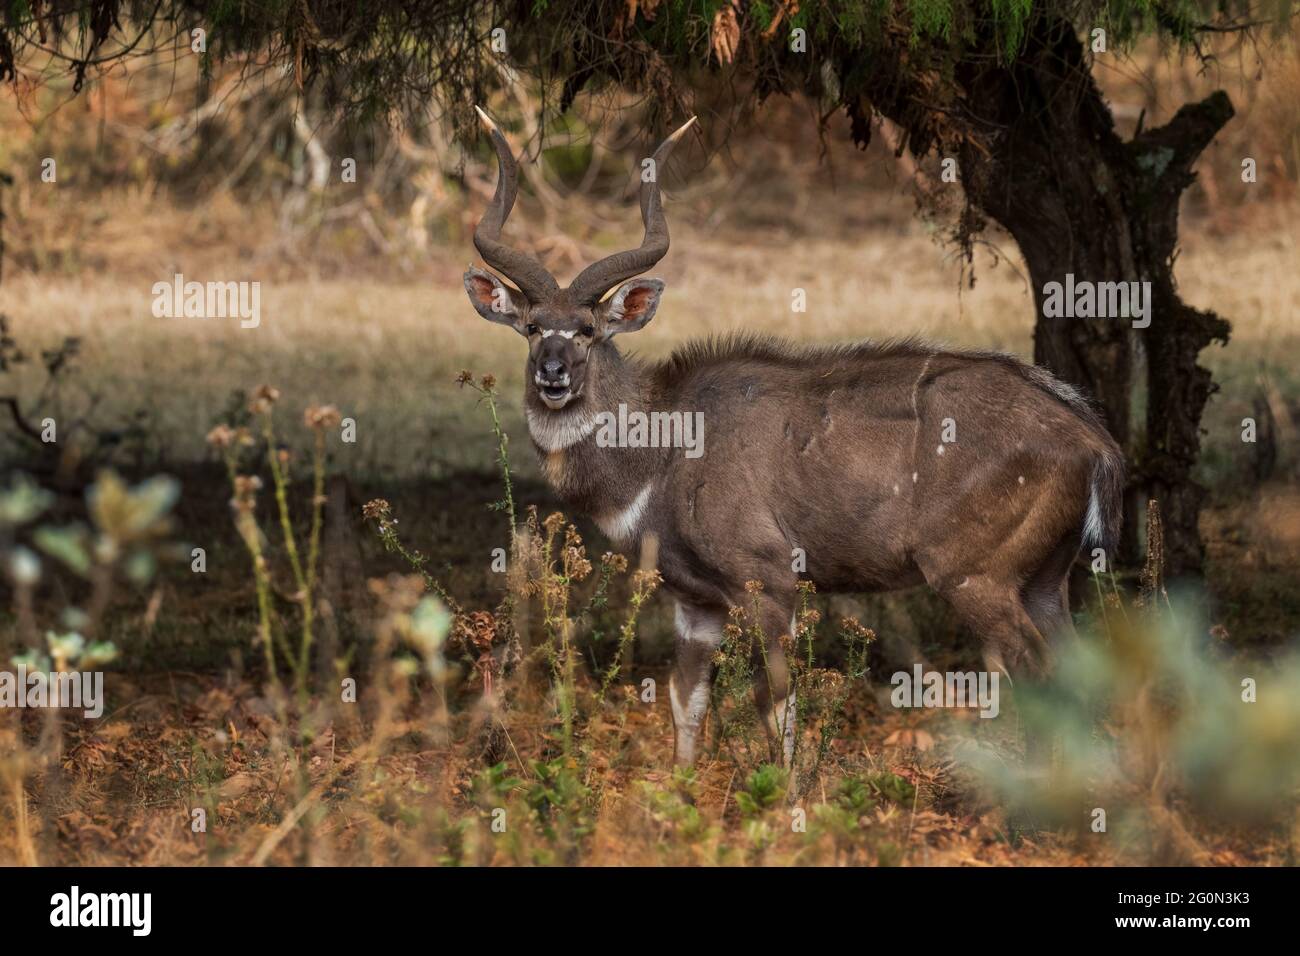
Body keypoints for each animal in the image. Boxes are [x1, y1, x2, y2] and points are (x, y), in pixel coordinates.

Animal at [462, 110, 1123, 770]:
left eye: (587, 329)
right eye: (531, 327)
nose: (553, 374)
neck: (661, 449)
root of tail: (1092, 440)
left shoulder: (769, 580)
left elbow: (775, 703)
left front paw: (788, 792)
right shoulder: (695, 602)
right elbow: (685, 701)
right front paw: (678, 789)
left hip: (975, 576)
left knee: (1035, 671)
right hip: (1045, 581)